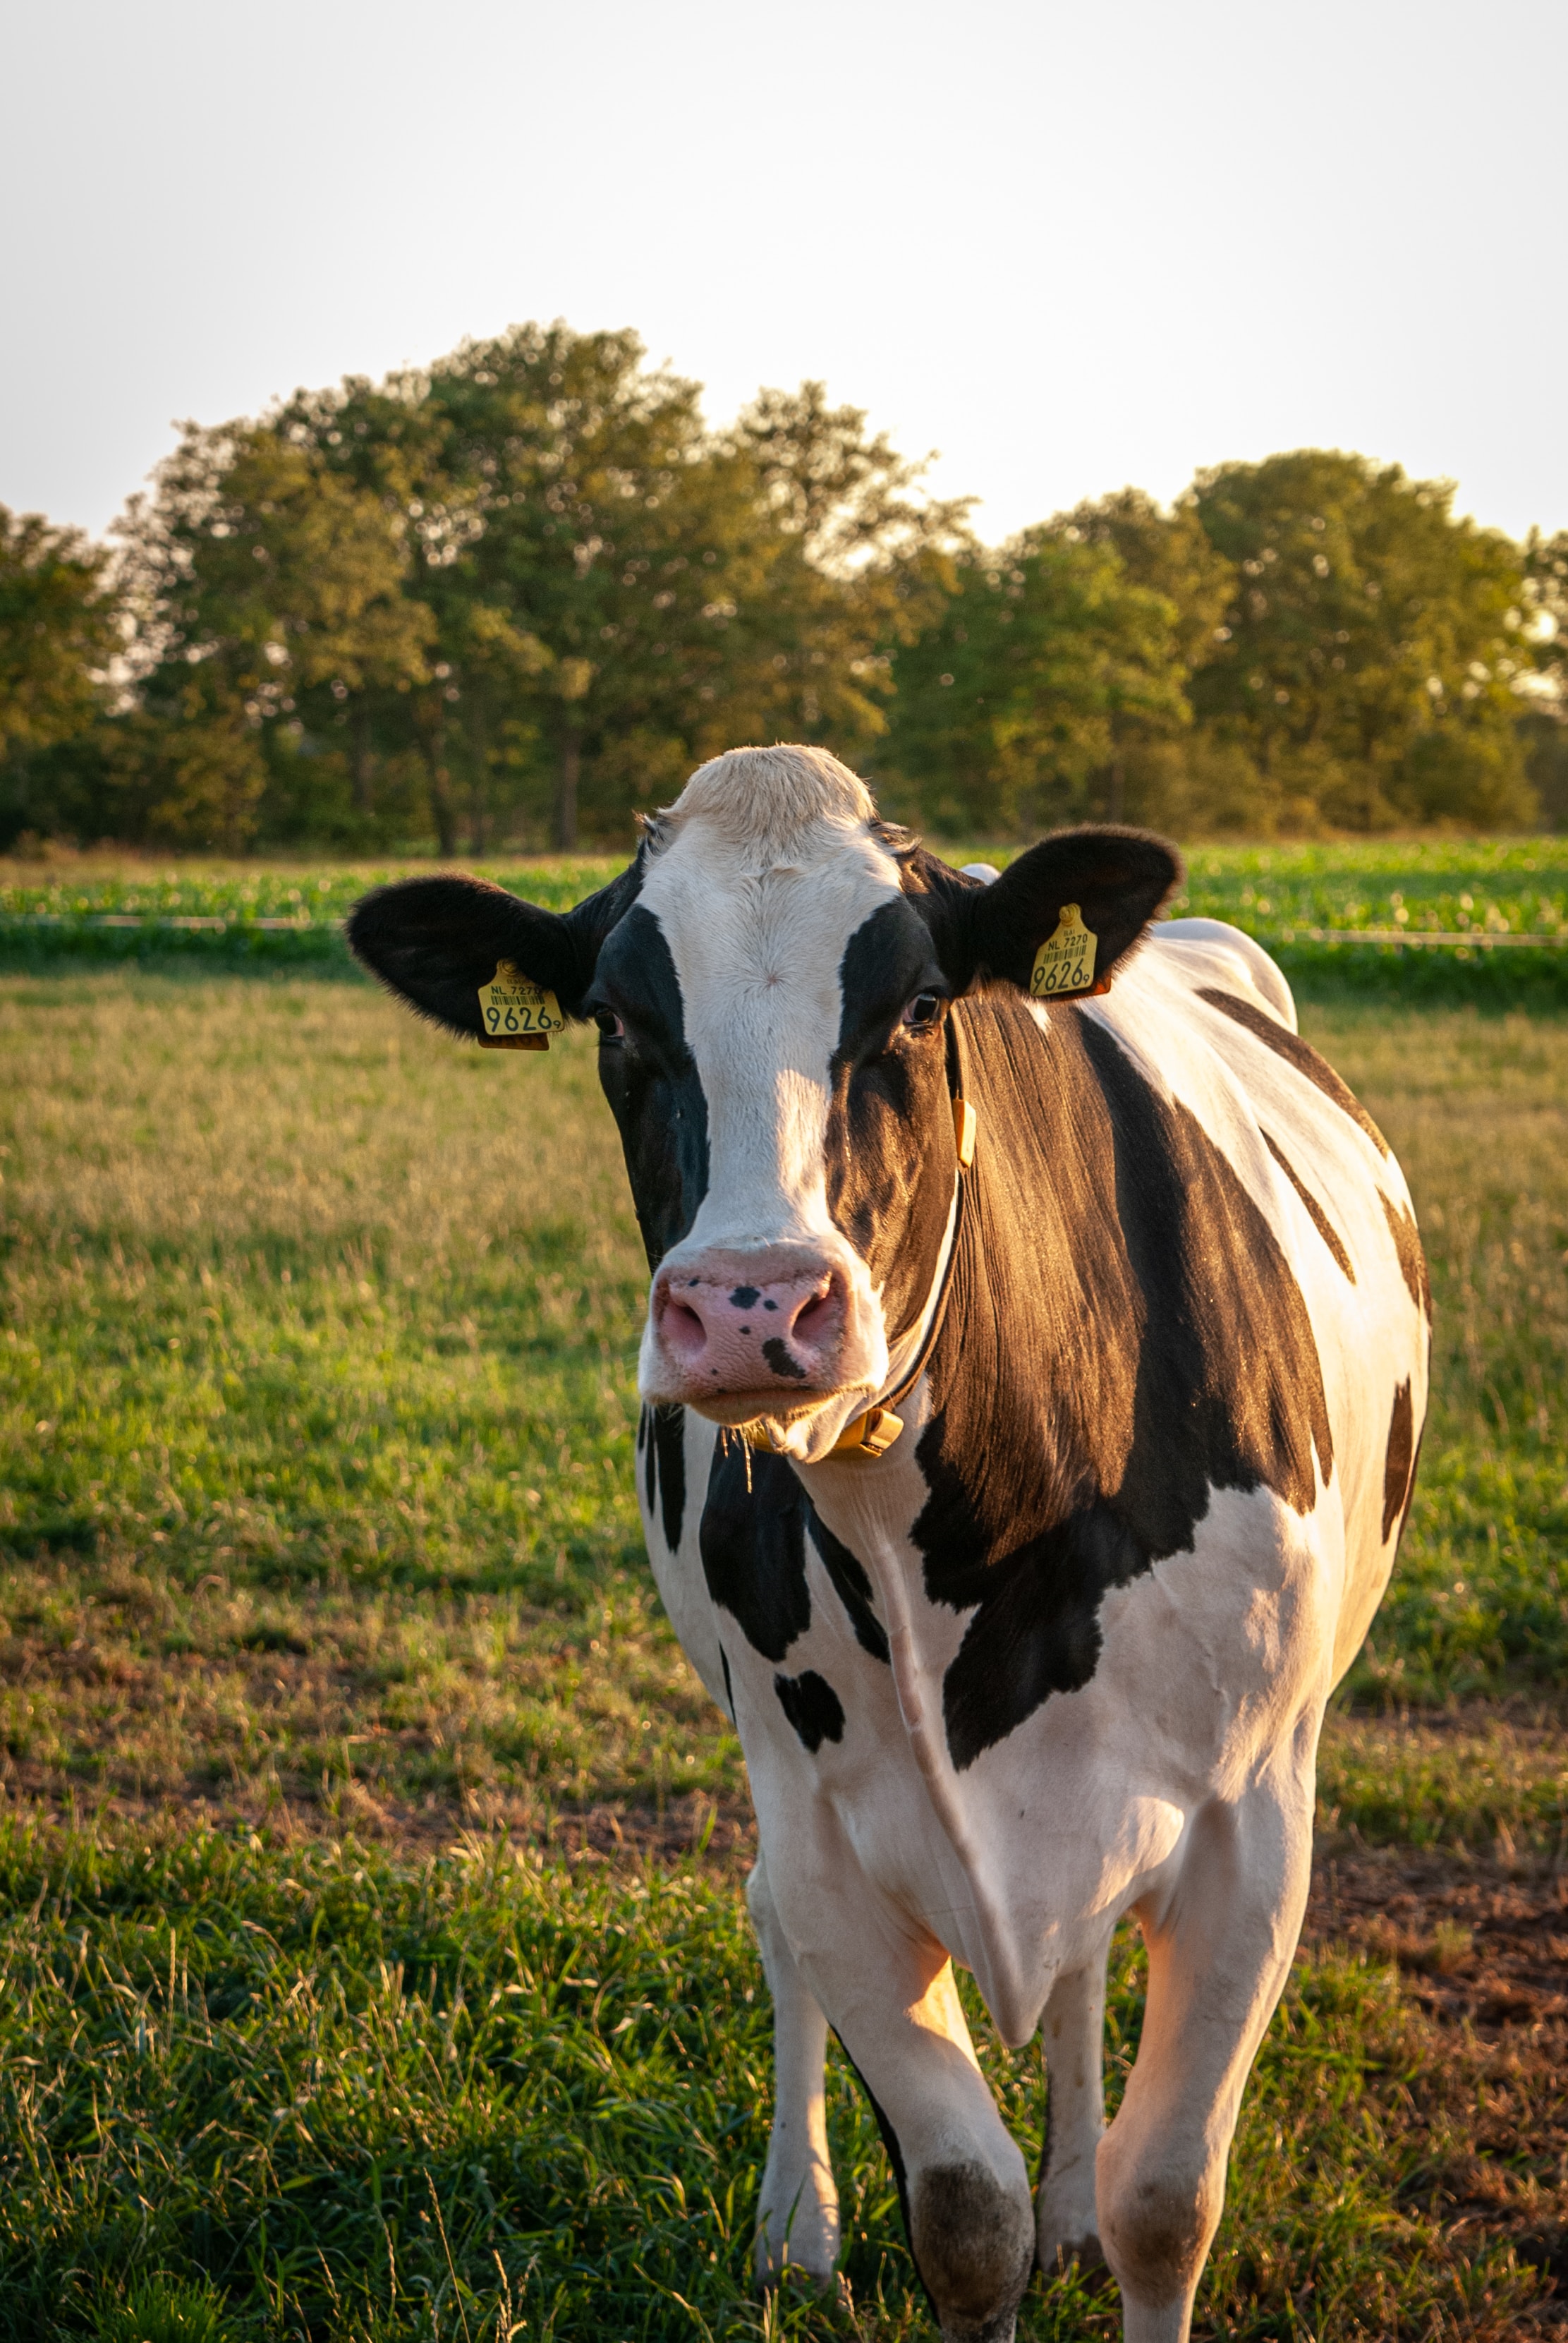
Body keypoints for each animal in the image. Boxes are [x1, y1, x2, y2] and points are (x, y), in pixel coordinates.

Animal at [349, 745, 1429, 2343]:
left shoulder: (1253, 1819)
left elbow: (1165, 2202)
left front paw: (1097, 2216)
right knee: (772, 1927)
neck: (978, 1545)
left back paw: (1069, 2206)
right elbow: (962, 2218)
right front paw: (893, 2222)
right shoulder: (828, 1834)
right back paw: (794, 2225)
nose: (750, 1303)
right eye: (616, 1018)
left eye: (919, 1006)